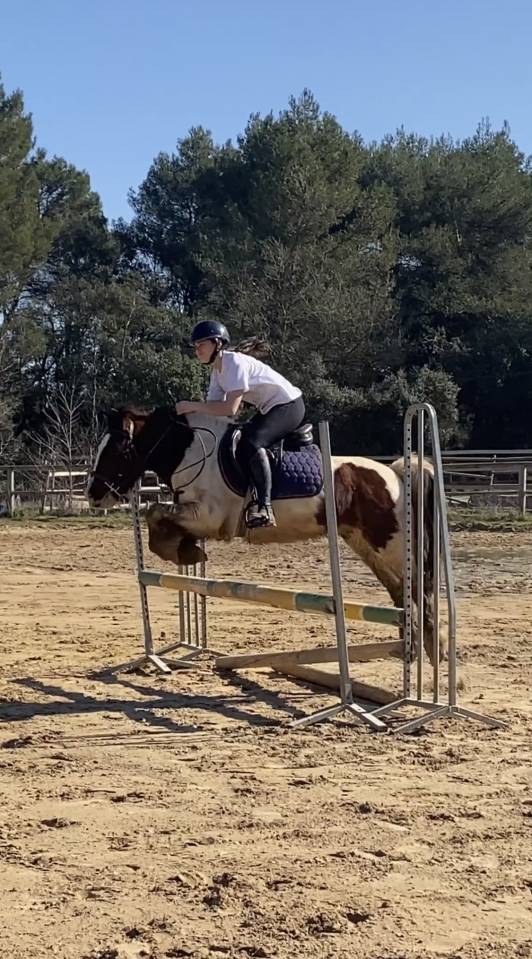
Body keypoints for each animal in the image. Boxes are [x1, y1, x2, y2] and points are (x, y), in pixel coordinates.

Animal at [87, 405, 439, 662]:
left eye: (118, 448)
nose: (93, 496)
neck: (190, 451)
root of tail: (395, 474)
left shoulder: (210, 517)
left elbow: (155, 513)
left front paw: (184, 550)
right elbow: (156, 516)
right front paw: (185, 549)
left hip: (392, 544)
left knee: (420, 594)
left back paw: (433, 657)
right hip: (364, 542)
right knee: (400, 593)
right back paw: (412, 650)